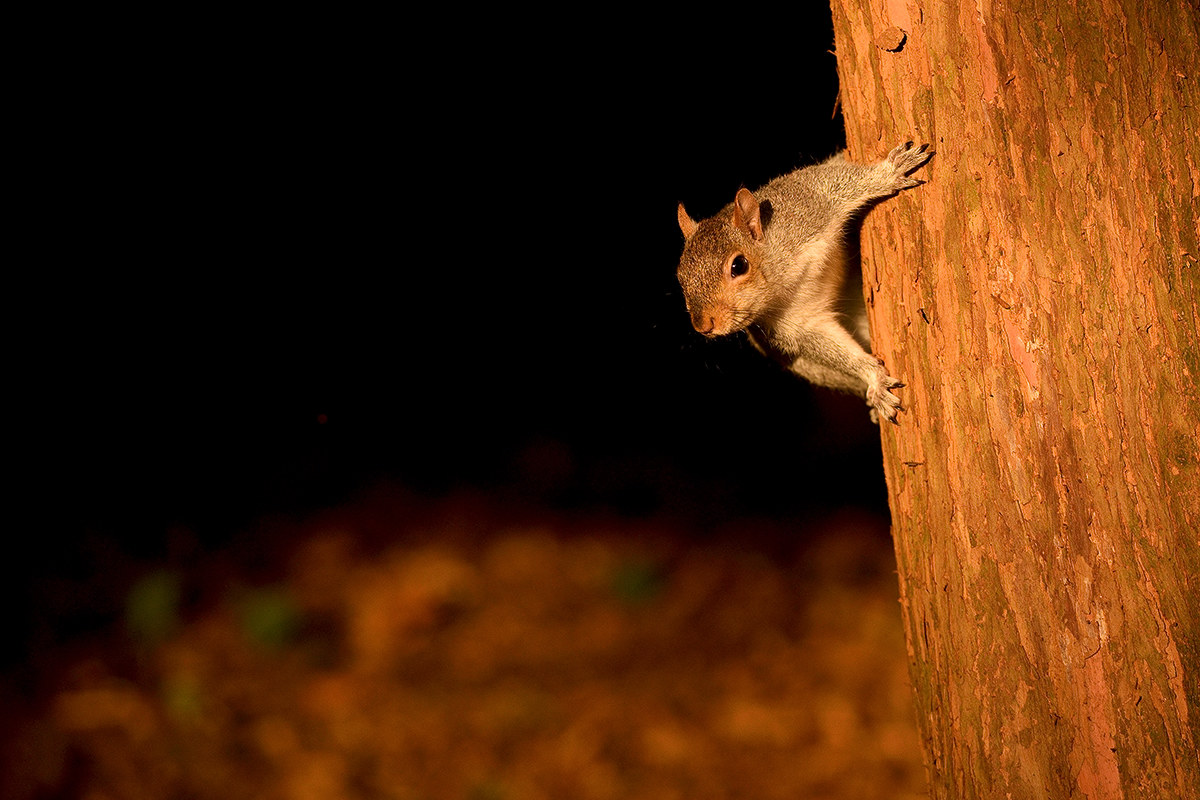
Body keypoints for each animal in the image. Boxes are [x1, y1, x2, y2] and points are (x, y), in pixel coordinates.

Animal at [675, 141, 934, 424]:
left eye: (738, 265)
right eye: (680, 275)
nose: (703, 326)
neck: (781, 273)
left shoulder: (808, 202)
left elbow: (843, 183)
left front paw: (887, 173)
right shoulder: (793, 321)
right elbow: (826, 344)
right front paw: (874, 379)